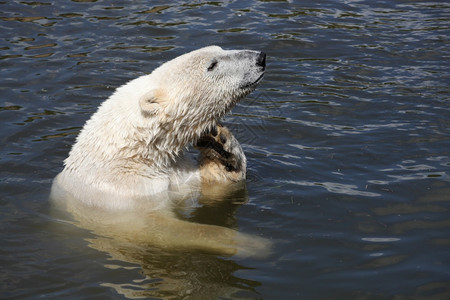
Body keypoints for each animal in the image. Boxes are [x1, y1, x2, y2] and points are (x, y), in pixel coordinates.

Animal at [51, 45, 270, 256]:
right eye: (212, 65)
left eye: (221, 49)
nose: (260, 57)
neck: (136, 153)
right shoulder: (125, 197)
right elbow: (165, 230)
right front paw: (252, 244)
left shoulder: (179, 174)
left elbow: (213, 188)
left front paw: (220, 143)